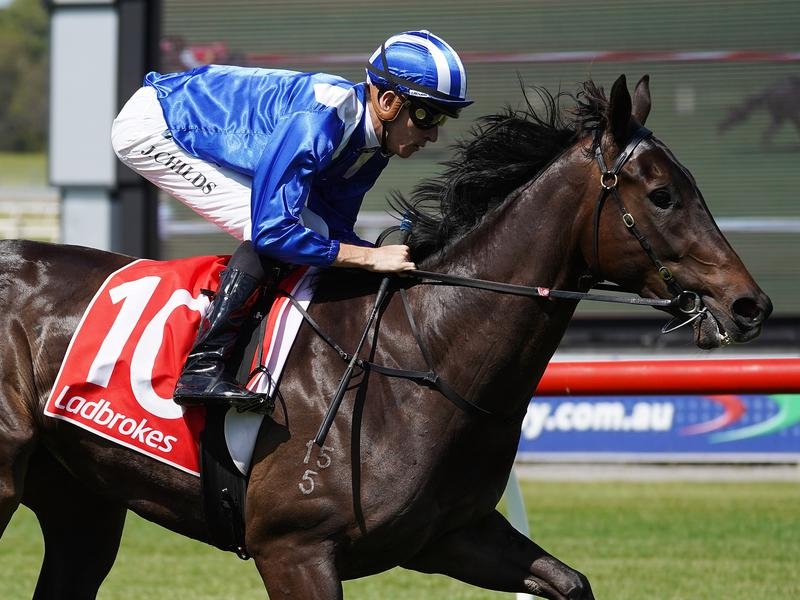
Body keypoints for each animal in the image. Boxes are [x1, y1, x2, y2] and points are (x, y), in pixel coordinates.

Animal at [0, 74, 772, 599]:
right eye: (663, 195)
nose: (751, 305)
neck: (423, 351)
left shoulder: (454, 535)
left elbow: (570, 581)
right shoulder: (295, 551)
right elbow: (276, 221)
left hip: (81, 507)